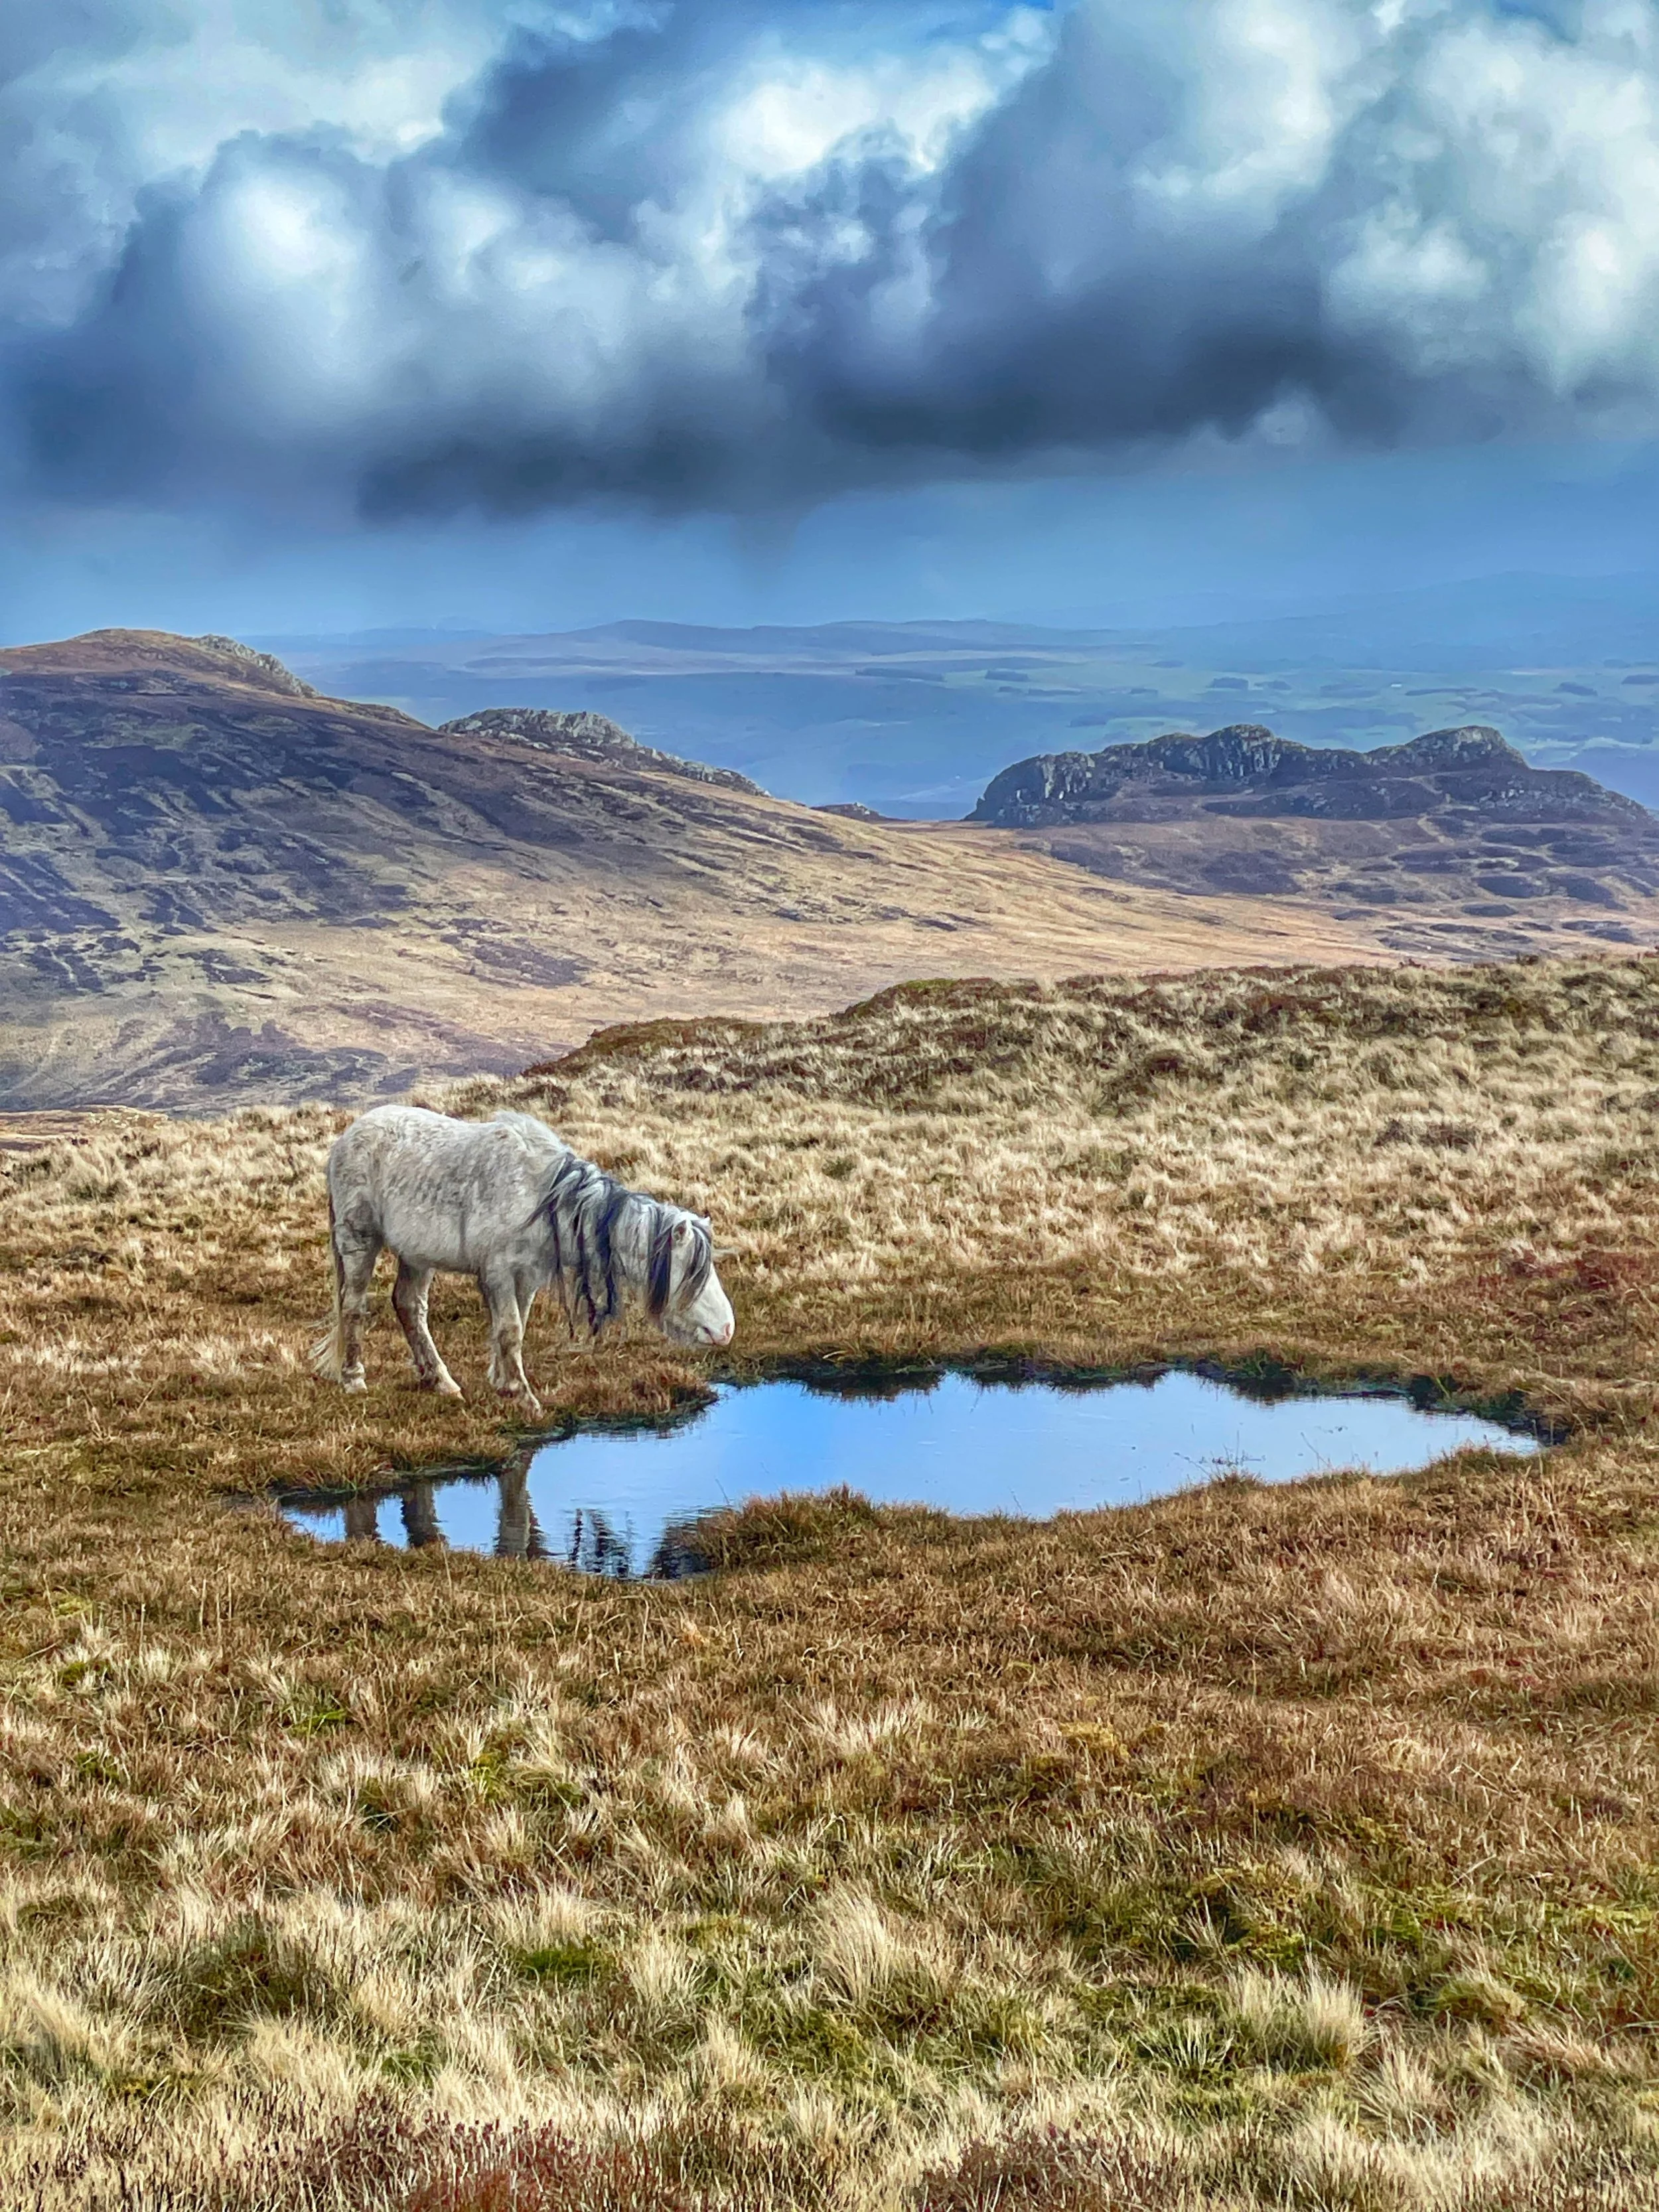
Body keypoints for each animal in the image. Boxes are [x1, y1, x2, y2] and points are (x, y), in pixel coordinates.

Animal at [312, 1105, 734, 1416]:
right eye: (690, 1273)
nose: (726, 1329)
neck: (541, 1198)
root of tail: (345, 1139)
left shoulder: (527, 1277)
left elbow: (517, 1326)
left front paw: (503, 1383)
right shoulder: (499, 1271)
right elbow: (510, 1330)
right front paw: (523, 1396)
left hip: (417, 1255)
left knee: (409, 1306)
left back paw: (441, 1382)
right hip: (359, 1240)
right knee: (353, 1307)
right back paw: (354, 1379)